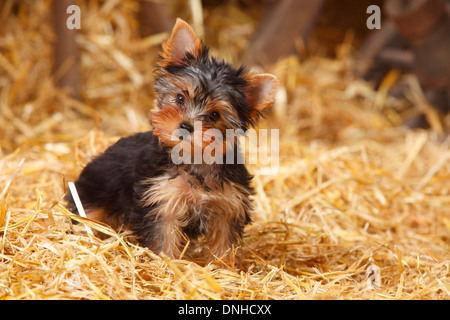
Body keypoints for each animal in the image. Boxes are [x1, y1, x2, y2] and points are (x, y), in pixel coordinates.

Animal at [66, 19, 278, 260]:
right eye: (179, 98)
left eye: (214, 115)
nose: (185, 126)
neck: (194, 160)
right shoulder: (161, 200)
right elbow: (163, 237)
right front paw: (165, 261)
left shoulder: (228, 204)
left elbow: (224, 241)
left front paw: (223, 264)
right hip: (94, 193)